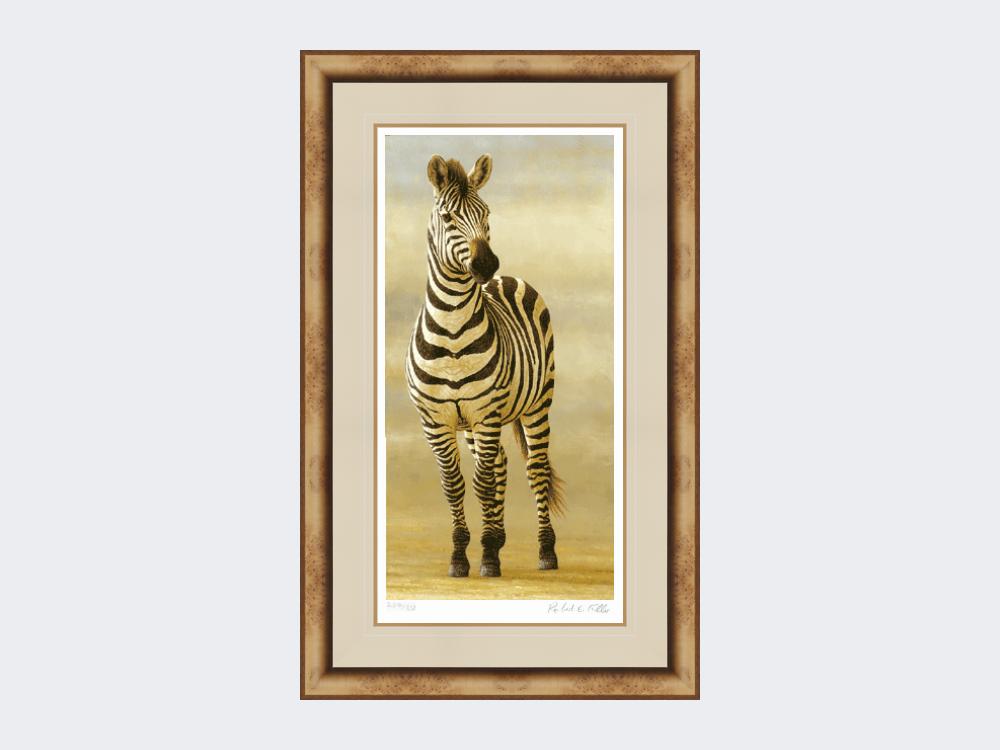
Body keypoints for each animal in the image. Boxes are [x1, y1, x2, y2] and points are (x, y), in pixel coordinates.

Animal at [404, 153, 565, 578]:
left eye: (486, 213)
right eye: (447, 217)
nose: (486, 263)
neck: (452, 330)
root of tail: (507, 280)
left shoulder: (486, 413)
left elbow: (481, 483)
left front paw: (488, 556)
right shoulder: (436, 421)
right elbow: (454, 485)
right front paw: (462, 555)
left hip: (537, 403)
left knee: (535, 469)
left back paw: (546, 551)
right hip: (473, 425)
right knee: (503, 465)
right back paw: (499, 536)